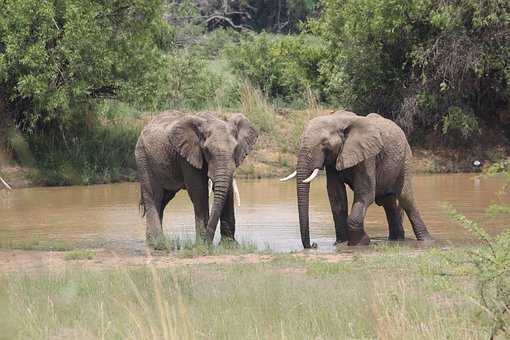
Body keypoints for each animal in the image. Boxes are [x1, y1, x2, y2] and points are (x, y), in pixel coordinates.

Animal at [134, 111, 256, 247]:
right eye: (207, 150)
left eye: (235, 149)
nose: (209, 242)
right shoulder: (188, 155)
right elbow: (199, 191)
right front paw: (202, 245)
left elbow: (228, 192)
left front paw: (230, 246)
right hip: (142, 158)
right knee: (154, 196)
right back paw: (158, 244)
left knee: (164, 199)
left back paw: (156, 242)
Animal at [280, 111, 432, 247]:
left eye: (324, 144)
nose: (313, 244)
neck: (337, 119)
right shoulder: (333, 160)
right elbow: (337, 196)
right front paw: (341, 243)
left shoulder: (368, 156)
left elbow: (365, 194)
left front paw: (361, 243)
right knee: (387, 200)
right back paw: (396, 240)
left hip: (405, 158)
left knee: (406, 198)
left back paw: (426, 241)